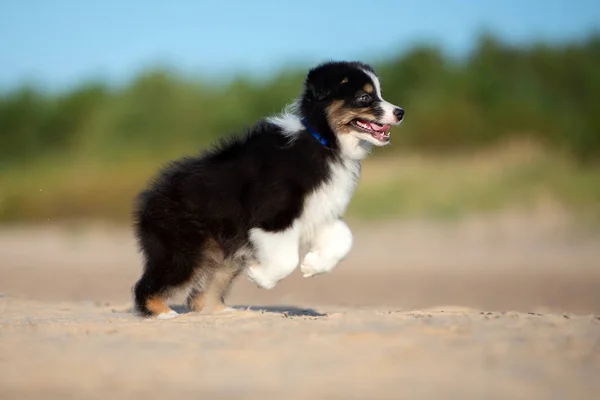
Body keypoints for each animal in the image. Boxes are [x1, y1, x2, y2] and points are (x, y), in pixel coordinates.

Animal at [131, 61, 404, 318]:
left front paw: (313, 265)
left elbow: (344, 238)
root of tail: (148, 198)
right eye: (364, 97)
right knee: (146, 285)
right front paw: (259, 276)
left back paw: (223, 311)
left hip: (222, 254)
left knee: (200, 294)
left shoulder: (319, 210)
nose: (400, 112)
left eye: (379, 93)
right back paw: (163, 313)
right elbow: (287, 259)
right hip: (182, 249)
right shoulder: (273, 216)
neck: (323, 142)